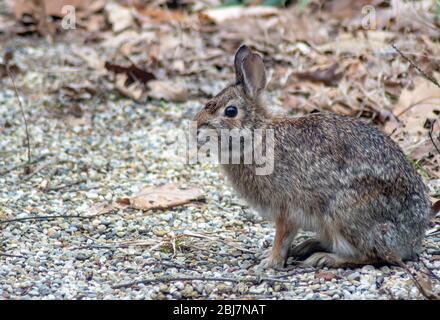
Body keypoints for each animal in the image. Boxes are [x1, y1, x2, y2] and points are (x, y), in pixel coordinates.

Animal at [193, 45, 434, 268]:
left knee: (373, 255)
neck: (257, 133)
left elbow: (282, 237)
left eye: (230, 111)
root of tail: (411, 240)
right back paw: (307, 246)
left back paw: (324, 258)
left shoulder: (286, 208)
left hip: (345, 214)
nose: (197, 126)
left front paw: (270, 262)